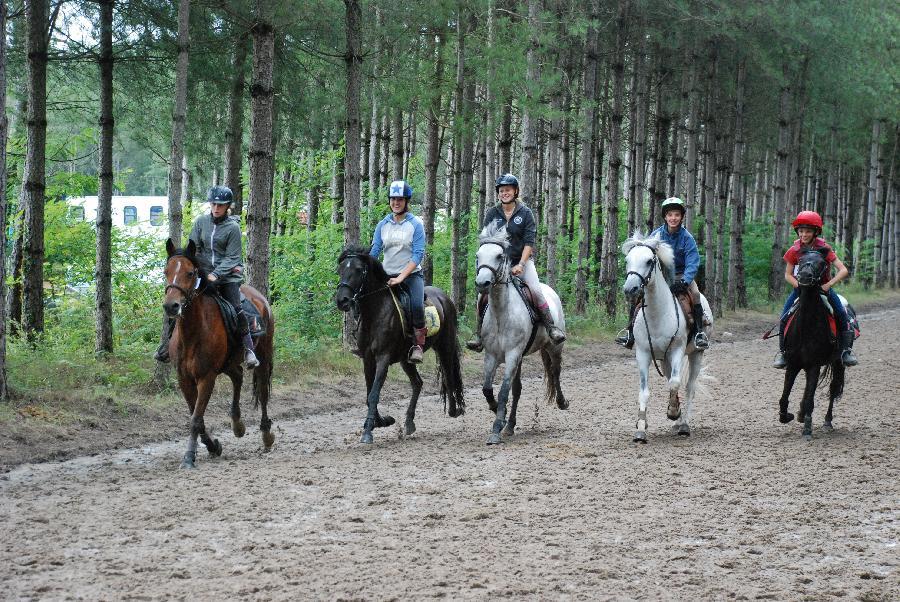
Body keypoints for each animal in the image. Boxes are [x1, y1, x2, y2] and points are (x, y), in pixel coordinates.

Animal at [162, 237, 274, 466]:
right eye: (166, 271)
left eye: (190, 273)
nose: (171, 306)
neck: (193, 332)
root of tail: (261, 298)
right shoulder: (184, 378)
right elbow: (197, 416)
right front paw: (213, 446)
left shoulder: (207, 377)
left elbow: (196, 419)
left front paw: (189, 457)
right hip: (228, 362)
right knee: (238, 376)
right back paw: (237, 424)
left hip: (263, 355)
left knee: (263, 392)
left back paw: (266, 435)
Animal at [336, 241, 468, 442]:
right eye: (340, 269)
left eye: (359, 270)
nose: (342, 300)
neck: (375, 313)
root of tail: (445, 298)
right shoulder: (368, 358)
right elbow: (369, 393)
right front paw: (381, 421)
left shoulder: (383, 357)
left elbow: (374, 393)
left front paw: (368, 432)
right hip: (406, 359)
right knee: (417, 383)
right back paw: (409, 423)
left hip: (445, 346)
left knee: (448, 374)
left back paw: (454, 410)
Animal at [620, 232, 712, 442]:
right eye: (628, 260)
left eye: (648, 261)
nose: (630, 289)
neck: (657, 314)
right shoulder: (643, 354)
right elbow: (645, 392)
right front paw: (641, 428)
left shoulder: (677, 350)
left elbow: (676, 383)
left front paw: (672, 412)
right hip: (664, 359)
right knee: (671, 379)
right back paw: (677, 420)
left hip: (695, 354)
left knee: (688, 387)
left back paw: (683, 423)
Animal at [776, 246, 848, 438]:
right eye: (800, 261)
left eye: (822, 263)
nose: (805, 276)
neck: (806, 327)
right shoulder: (793, 364)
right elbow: (785, 395)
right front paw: (786, 416)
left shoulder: (814, 364)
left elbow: (810, 397)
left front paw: (807, 428)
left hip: (837, 363)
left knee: (832, 388)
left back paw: (827, 421)